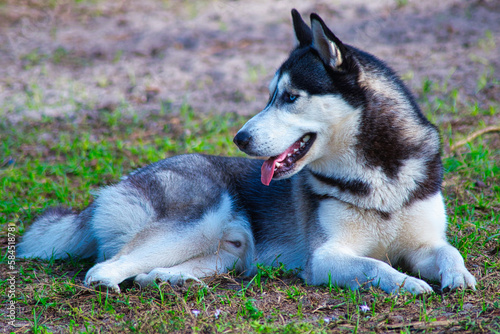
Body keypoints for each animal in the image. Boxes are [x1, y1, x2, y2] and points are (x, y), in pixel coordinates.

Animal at [17, 9, 474, 294]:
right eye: (270, 96)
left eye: (290, 97)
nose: (239, 138)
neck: (379, 175)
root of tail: (111, 188)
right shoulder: (326, 257)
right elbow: (375, 264)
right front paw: (407, 283)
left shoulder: (424, 243)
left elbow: (449, 251)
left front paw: (459, 277)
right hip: (197, 221)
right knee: (103, 266)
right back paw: (109, 282)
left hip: (225, 253)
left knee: (152, 272)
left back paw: (172, 281)